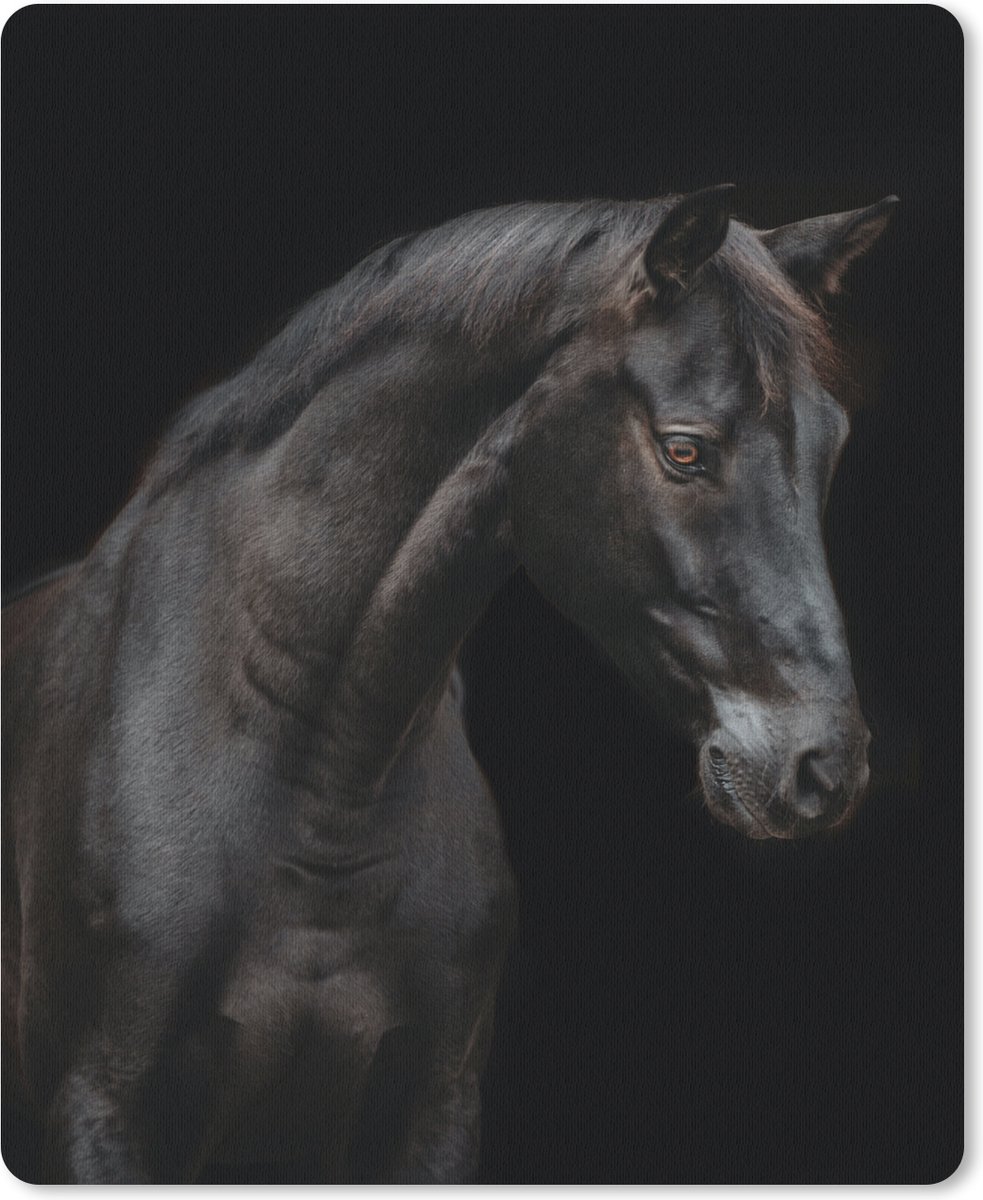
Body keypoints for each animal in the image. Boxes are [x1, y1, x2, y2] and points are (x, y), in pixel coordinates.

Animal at [2, 186, 896, 1182]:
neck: (317, 780)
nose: (823, 767)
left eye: (831, 444)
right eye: (684, 451)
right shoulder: (102, 1108)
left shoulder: (433, 1111)